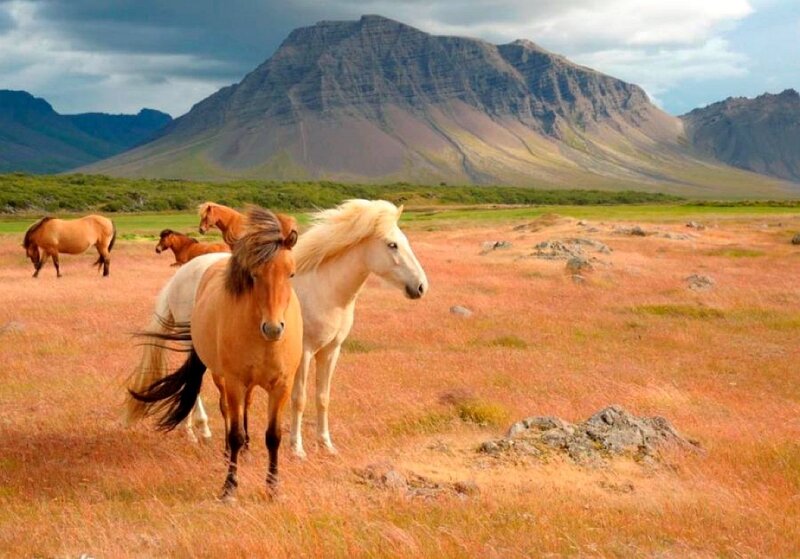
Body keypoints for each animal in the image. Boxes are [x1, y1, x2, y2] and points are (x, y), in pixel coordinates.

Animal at [124, 199, 428, 457]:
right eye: (392, 245)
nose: (421, 287)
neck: (324, 288)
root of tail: (180, 275)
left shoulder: (331, 351)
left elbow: (323, 397)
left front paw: (326, 445)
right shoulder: (304, 353)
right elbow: (299, 399)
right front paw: (297, 449)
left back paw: (194, 431)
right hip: (196, 346)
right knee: (196, 386)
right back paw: (200, 432)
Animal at [129, 207, 301, 500]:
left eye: (291, 274)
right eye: (254, 274)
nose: (273, 328)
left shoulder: (282, 386)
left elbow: (273, 436)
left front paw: (273, 487)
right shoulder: (234, 382)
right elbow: (234, 432)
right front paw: (229, 487)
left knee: (245, 409)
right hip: (221, 377)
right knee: (226, 411)